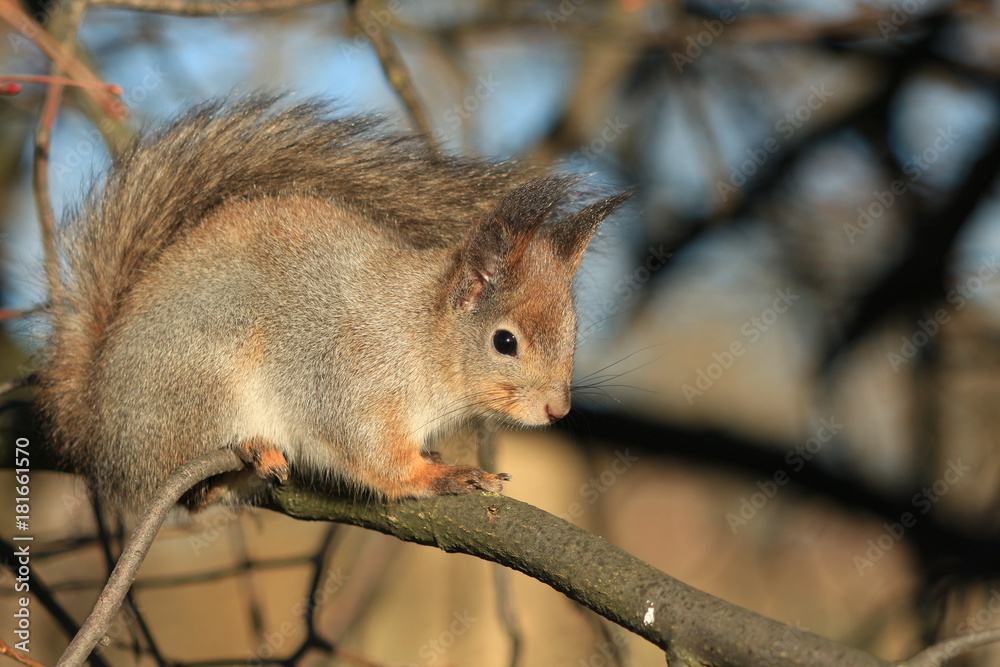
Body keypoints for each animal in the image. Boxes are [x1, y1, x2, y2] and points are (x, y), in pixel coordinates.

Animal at [35, 94, 629, 512]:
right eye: (504, 342)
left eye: (574, 331)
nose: (558, 410)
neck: (421, 334)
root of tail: (96, 424)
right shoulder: (354, 384)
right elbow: (375, 459)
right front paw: (445, 475)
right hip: (200, 387)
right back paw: (254, 450)